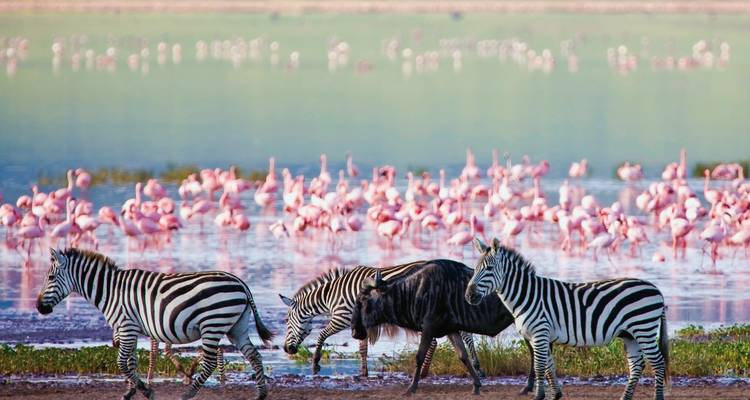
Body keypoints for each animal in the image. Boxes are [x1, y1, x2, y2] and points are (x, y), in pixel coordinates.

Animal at [36, 248, 273, 400]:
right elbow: (130, 361)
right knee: (254, 355)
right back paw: (261, 394)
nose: (39, 307)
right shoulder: (129, 328)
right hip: (236, 327)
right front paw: (131, 391)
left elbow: (122, 362)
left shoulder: (126, 326)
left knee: (210, 362)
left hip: (212, 324)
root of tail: (240, 283)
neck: (111, 291)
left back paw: (187, 394)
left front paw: (145, 390)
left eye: (51, 277)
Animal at [279, 260, 485, 378]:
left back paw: (425, 372)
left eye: (287, 322)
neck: (331, 295)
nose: (287, 349)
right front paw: (363, 373)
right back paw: (477, 367)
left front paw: (315, 364)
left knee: (435, 340)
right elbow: (362, 349)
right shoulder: (360, 322)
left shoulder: (342, 317)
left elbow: (321, 335)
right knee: (464, 335)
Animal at [465, 238, 669, 400]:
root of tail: (656, 289)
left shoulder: (540, 333)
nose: (469, 295)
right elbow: (549, 366)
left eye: (489, 268)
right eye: (474, 269)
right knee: (637, 365)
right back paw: (624, 398)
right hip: (630, 334)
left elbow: (540, 367)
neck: (527, 296)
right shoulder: (541, 336)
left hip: (643, 329)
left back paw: (657, 397)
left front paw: (539, 396)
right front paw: (556, 394)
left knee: (658, 363)